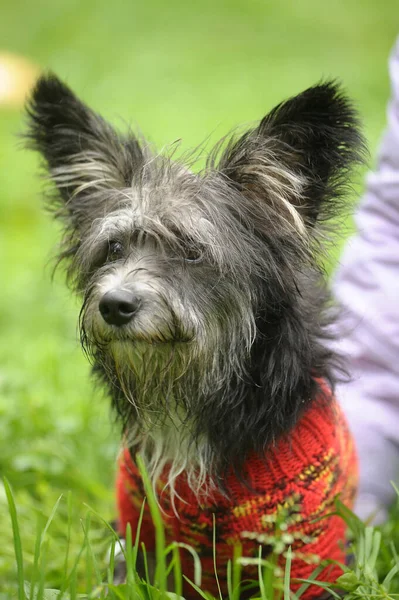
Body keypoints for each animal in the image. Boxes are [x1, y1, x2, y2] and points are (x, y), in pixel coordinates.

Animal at [25, 77, 366, 596]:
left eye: (191, 251)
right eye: (114, 248)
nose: (115, 305)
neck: (190, 396)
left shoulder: (309, 553)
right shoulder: (141, 541)